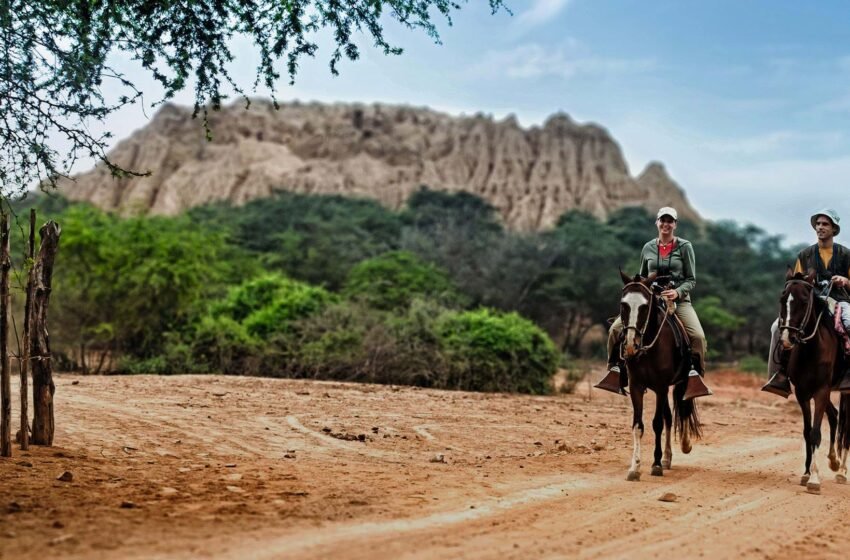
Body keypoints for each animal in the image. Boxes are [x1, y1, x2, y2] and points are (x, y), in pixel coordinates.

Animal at [616, 272, 704, 482]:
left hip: (681, 383)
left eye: (645, 306)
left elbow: (656, 423)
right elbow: (638, 425)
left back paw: (684, 446)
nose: (630, 345)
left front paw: (655, 465)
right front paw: (635, 467)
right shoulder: (637, 386)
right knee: (670, 417)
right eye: (623, 304)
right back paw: (667, 458)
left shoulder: (662, 386)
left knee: (683, 410)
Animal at [776, 272, 840, 494]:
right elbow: (806, 432)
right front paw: (806, 473)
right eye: (782, 299)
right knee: (835, 416)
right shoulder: (803, 393)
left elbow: (815, 433)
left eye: (804, 301)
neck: (812, 350)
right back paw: (834, 461)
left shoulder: (821, 391)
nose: (787, 338)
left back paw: (843, 472)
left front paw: (814, 479)